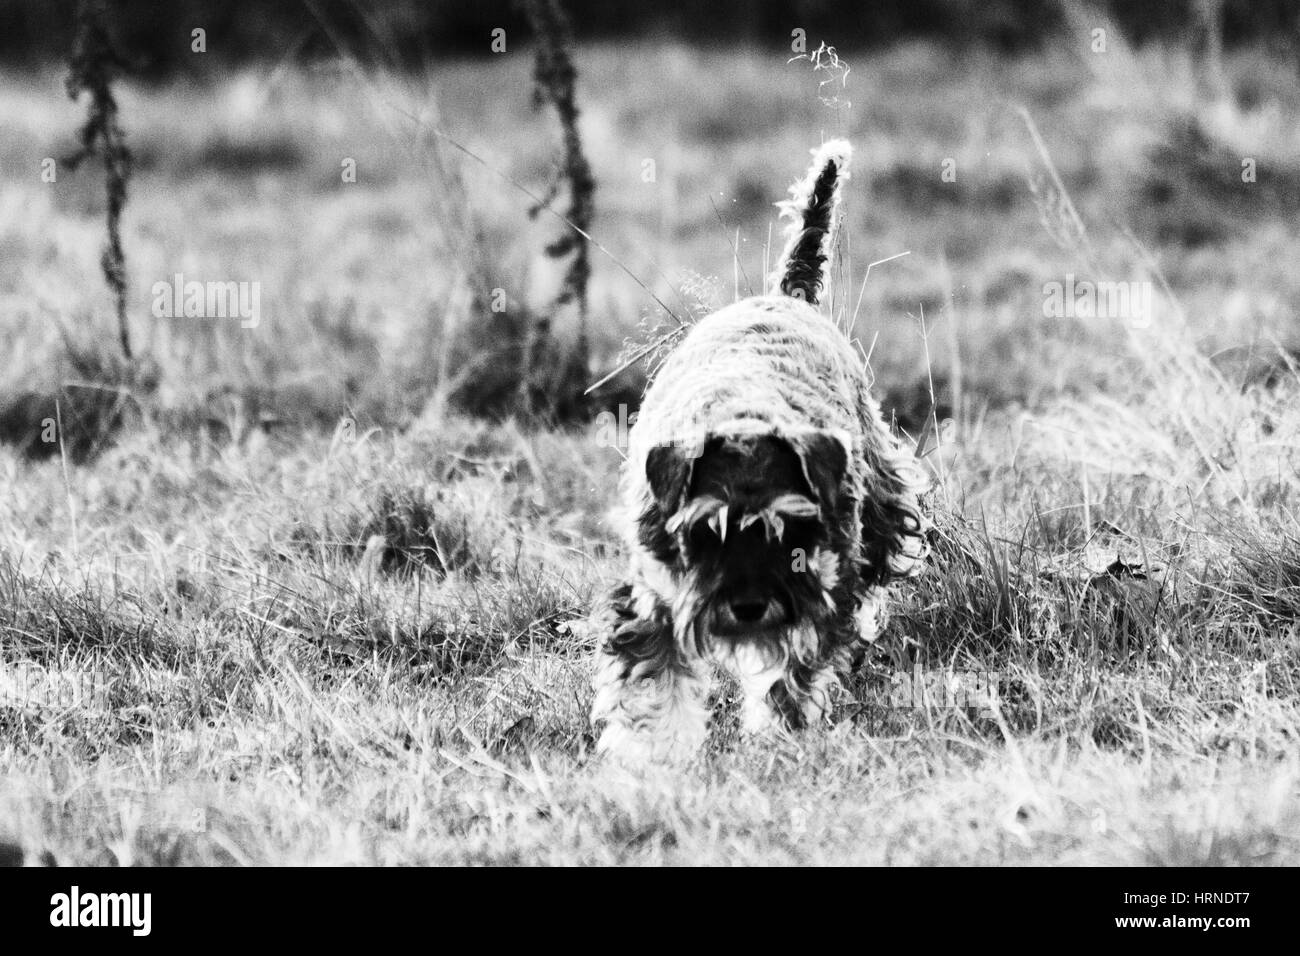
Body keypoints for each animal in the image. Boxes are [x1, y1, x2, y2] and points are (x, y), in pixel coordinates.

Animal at [595, 138, 930, 764]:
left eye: (791, 532)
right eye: (705, 532)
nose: (749, 607)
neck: (742, 415)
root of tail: (786, 297)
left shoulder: (821, 591)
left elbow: (790, 677)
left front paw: (776, 741)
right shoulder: (652, 599)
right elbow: (656, 681)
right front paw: (657, 759)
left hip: (880, 513)